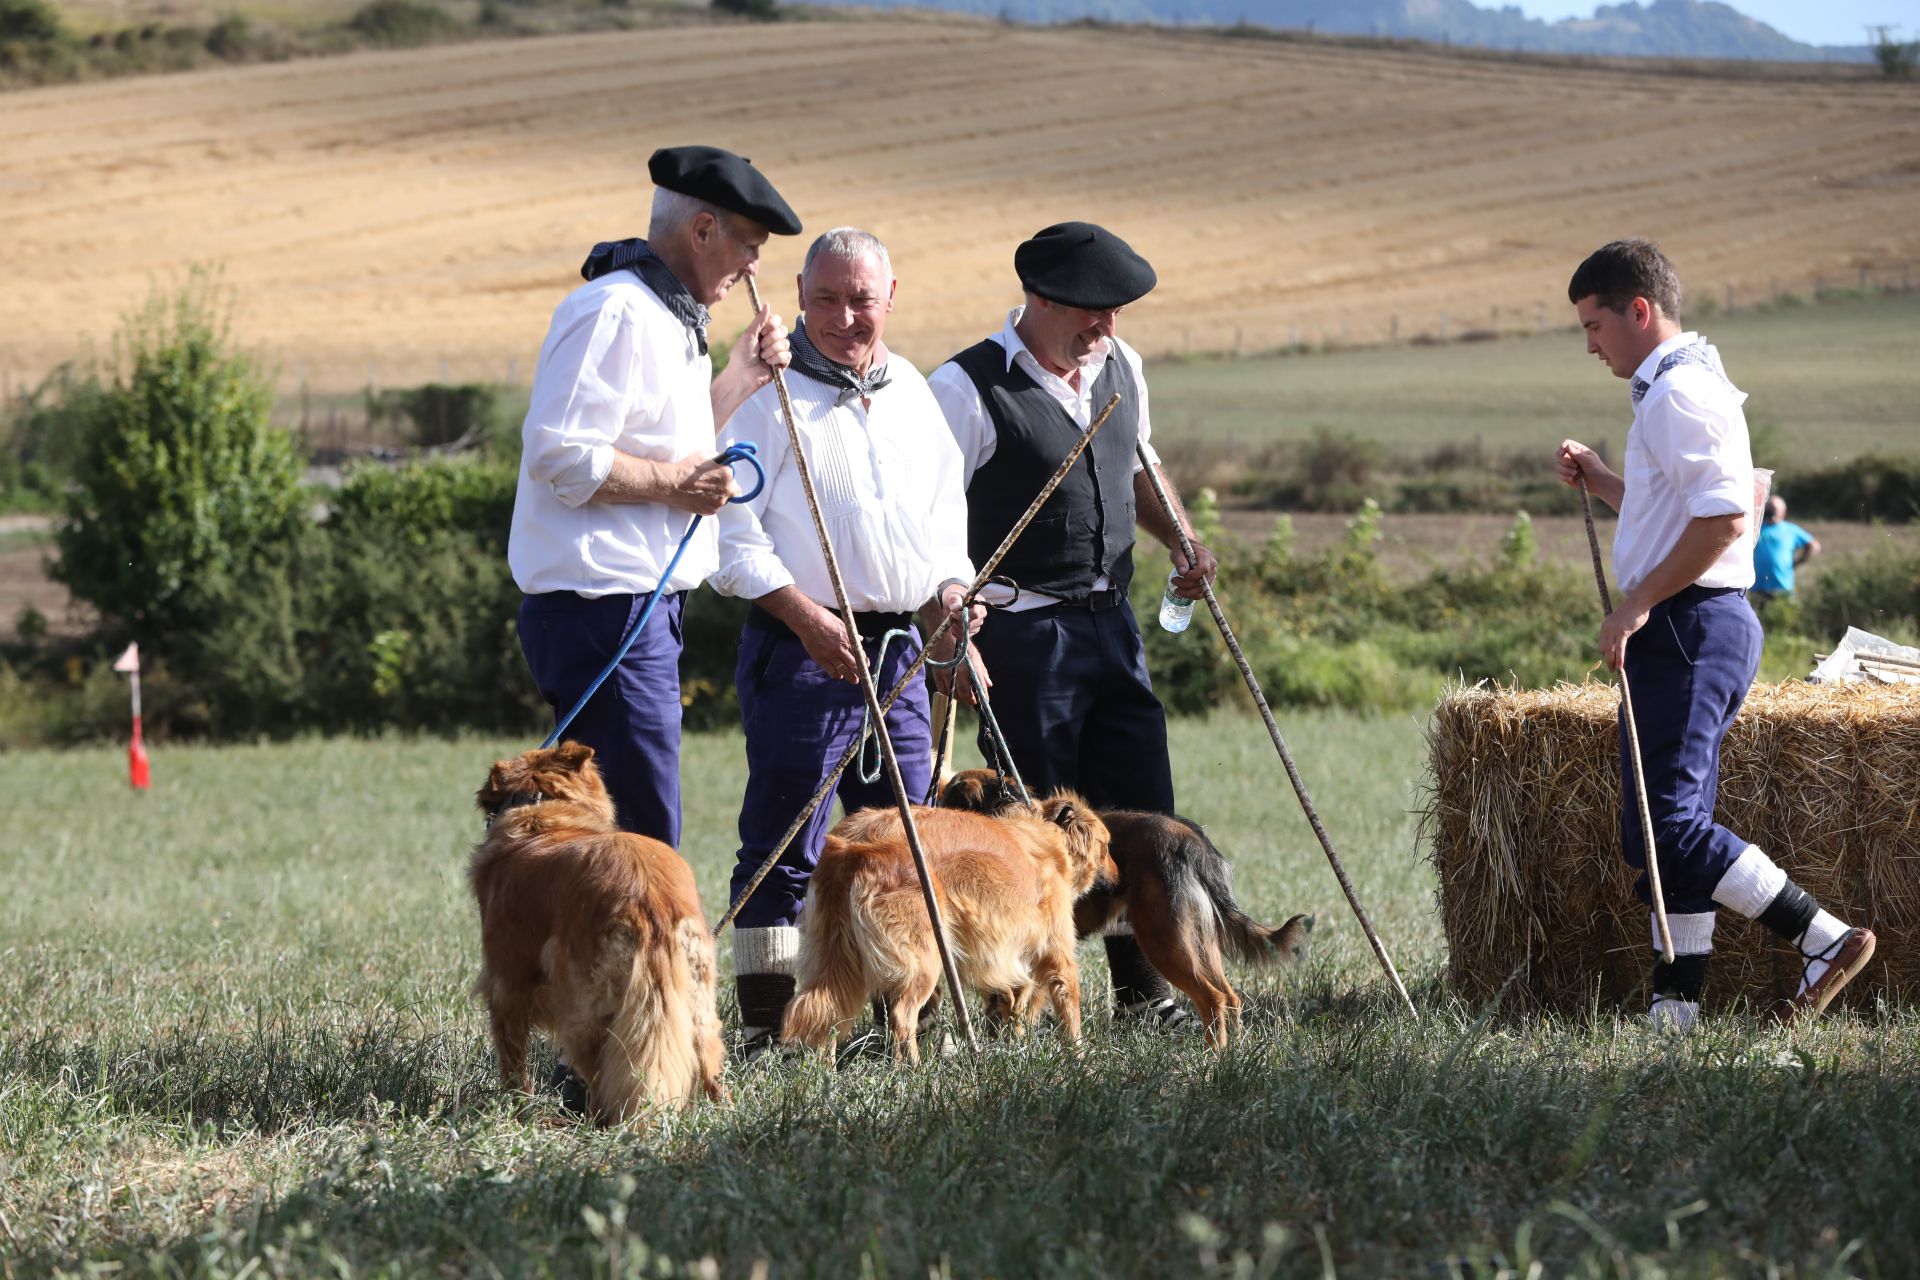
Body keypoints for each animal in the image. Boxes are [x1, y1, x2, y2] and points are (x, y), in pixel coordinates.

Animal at [470, 744, 725, 1128]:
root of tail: (649, 897)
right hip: (699, 1003)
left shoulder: (505, 986)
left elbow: (513, 1062)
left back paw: (592, 1125)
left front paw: (517, 1109)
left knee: (601, 1078)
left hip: (586, 1012)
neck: (540, 810)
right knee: (712, 1069)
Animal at [775, 794, 1113, 1066]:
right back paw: (913, 1070)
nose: (1118, 879)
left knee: (828, 1013)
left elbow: (1015, 999)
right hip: (924, 960)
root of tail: (851, 846)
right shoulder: (1055, 955)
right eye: (1107, 846)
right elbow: (1068, 1008)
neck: (1047, 836)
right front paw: (1080, 1059)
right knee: (901, 1017)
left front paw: (1014, 1039)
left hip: (837, 957)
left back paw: (828, 1073)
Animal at [936, 771, 1313, 1051]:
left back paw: (1213, 1057)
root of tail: (1192, 841)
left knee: (1213, 997)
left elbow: (1020, 1006)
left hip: (1165, 940)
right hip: (1199, 940)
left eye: (946, 802)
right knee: (1231, 997)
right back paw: (1236, 1050)